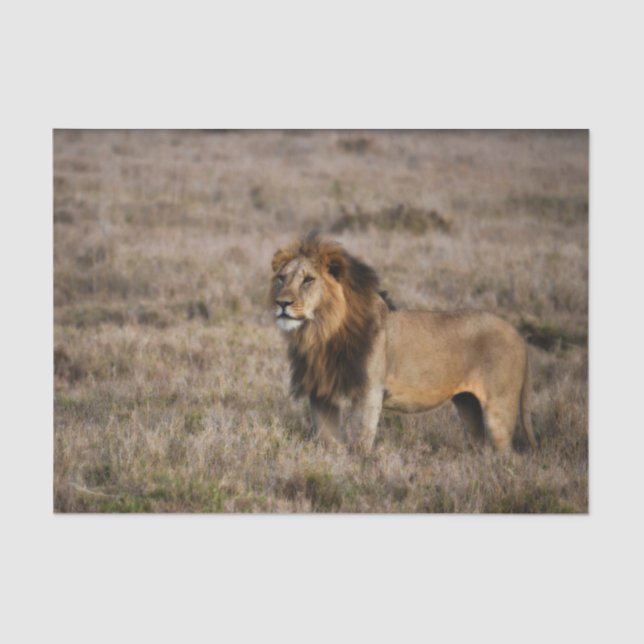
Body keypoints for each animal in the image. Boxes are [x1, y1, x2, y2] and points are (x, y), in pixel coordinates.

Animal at [269, 233, 536, 453]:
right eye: (281, 278)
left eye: (308, 280)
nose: (281, 303)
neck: (321, 332)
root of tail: (518, 335)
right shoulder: (321, 392)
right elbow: (327, 440)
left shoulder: (369, 392)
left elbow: (360, 441)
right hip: (467, 403)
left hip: (499, 408)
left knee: (505, 454)